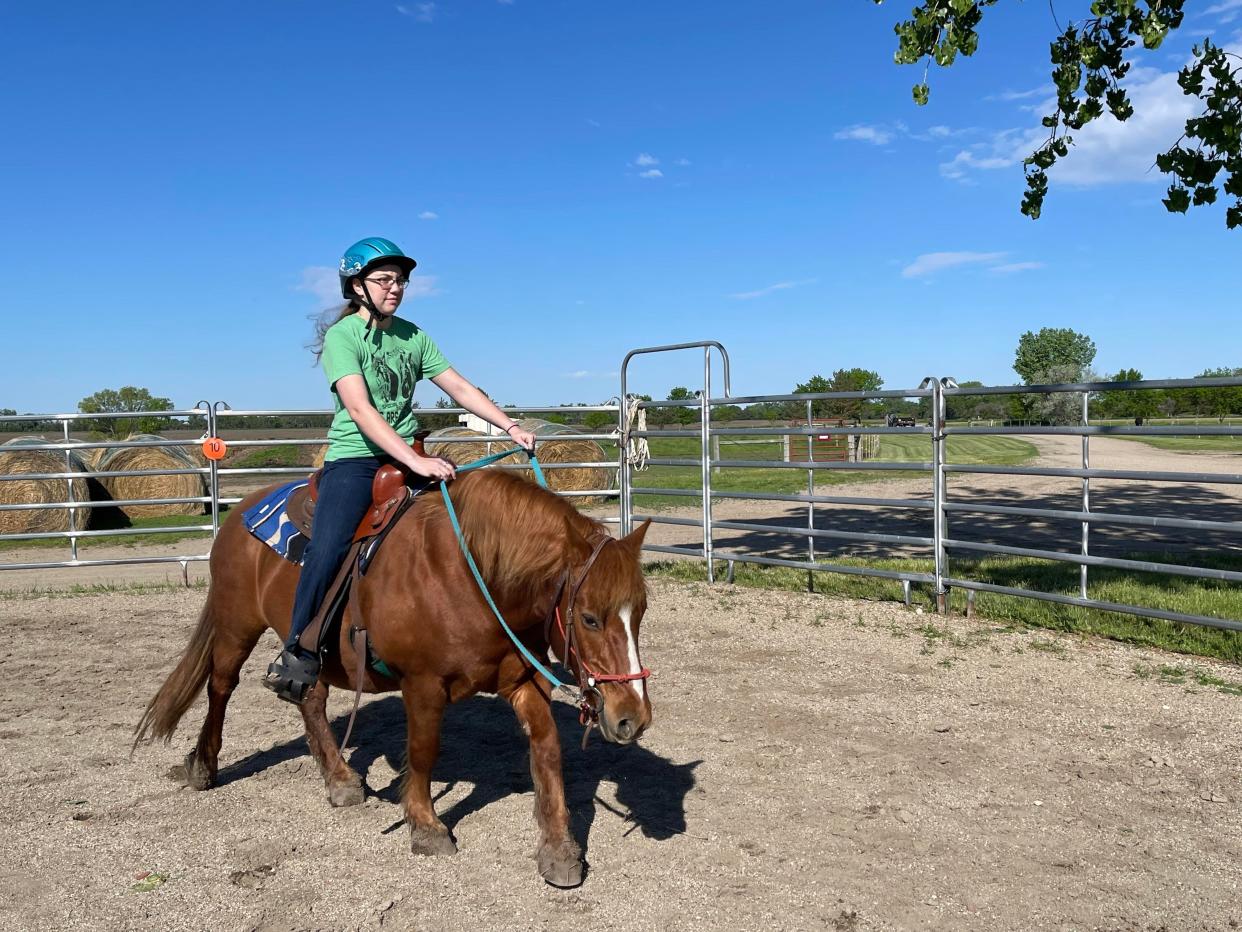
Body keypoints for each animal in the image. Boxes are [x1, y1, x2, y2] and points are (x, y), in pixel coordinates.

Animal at [135, 469, 655, 884]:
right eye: (589, 618)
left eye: (641, 611)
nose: (632, 717)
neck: (472, 576)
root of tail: (241, 512)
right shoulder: (422, 684)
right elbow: (422, 751)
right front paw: (425, 827)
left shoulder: (524, 681)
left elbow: (547, 752)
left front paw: (559, 848)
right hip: (235, 625)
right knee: (220, 687)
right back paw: (203, 765)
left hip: (310, 655)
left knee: (311, 701)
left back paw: (340, 779)